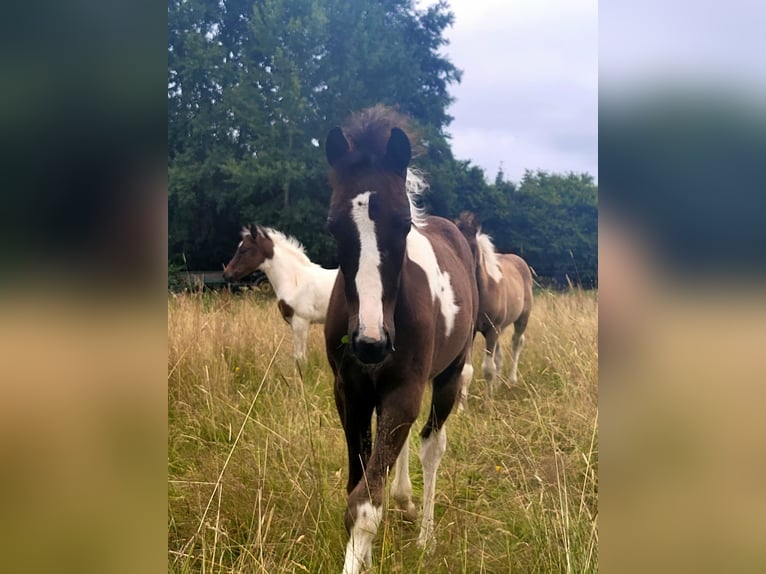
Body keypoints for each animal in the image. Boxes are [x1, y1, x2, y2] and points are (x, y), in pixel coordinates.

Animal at [224, 224, 340, 360]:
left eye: (244, 250)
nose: (226, 274)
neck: (294, 279)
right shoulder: (292, 322)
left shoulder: (301, 321)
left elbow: (300, 357)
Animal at [324, 107, 480, 574]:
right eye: (333, 226)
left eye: (404, 224)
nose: (370, 343)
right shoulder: (350, 393)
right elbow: (358, 484)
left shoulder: (404, 390)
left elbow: (364, 503)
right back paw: (405, 501)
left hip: (447, 377)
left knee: (432, 445)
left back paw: (426, 535)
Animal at [456, 213, 536, 400]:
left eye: (471, 247)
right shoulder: (471, 331)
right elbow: (466, 371)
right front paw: (462, 405)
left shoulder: (492, 329)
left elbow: (488, 369)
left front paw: (488, 401)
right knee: (499, 357)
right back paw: (497, 387)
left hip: (521, 319)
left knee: (516, 343)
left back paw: (512, 381)